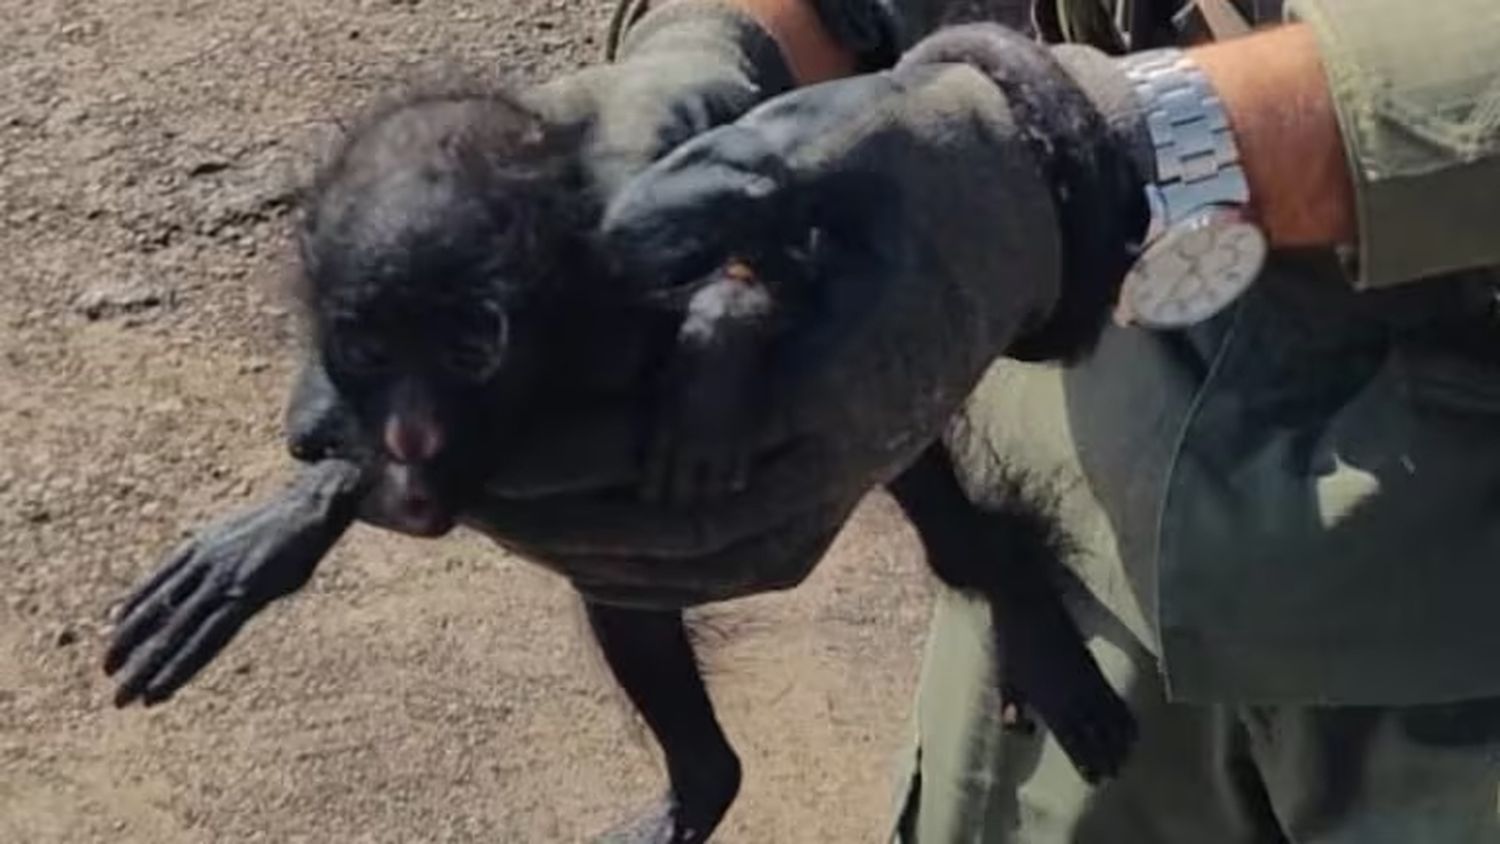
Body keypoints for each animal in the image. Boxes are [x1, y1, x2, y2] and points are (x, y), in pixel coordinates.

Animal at [105, 89, 1128, 839]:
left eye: (471, 343)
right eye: (366, 348)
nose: (410, 431)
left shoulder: (629, 282)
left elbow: (766, 281)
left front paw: (715, 361)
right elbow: (381, 478)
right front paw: (289, 518)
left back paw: (1013, 591)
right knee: (629, 609)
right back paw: (703, 785)